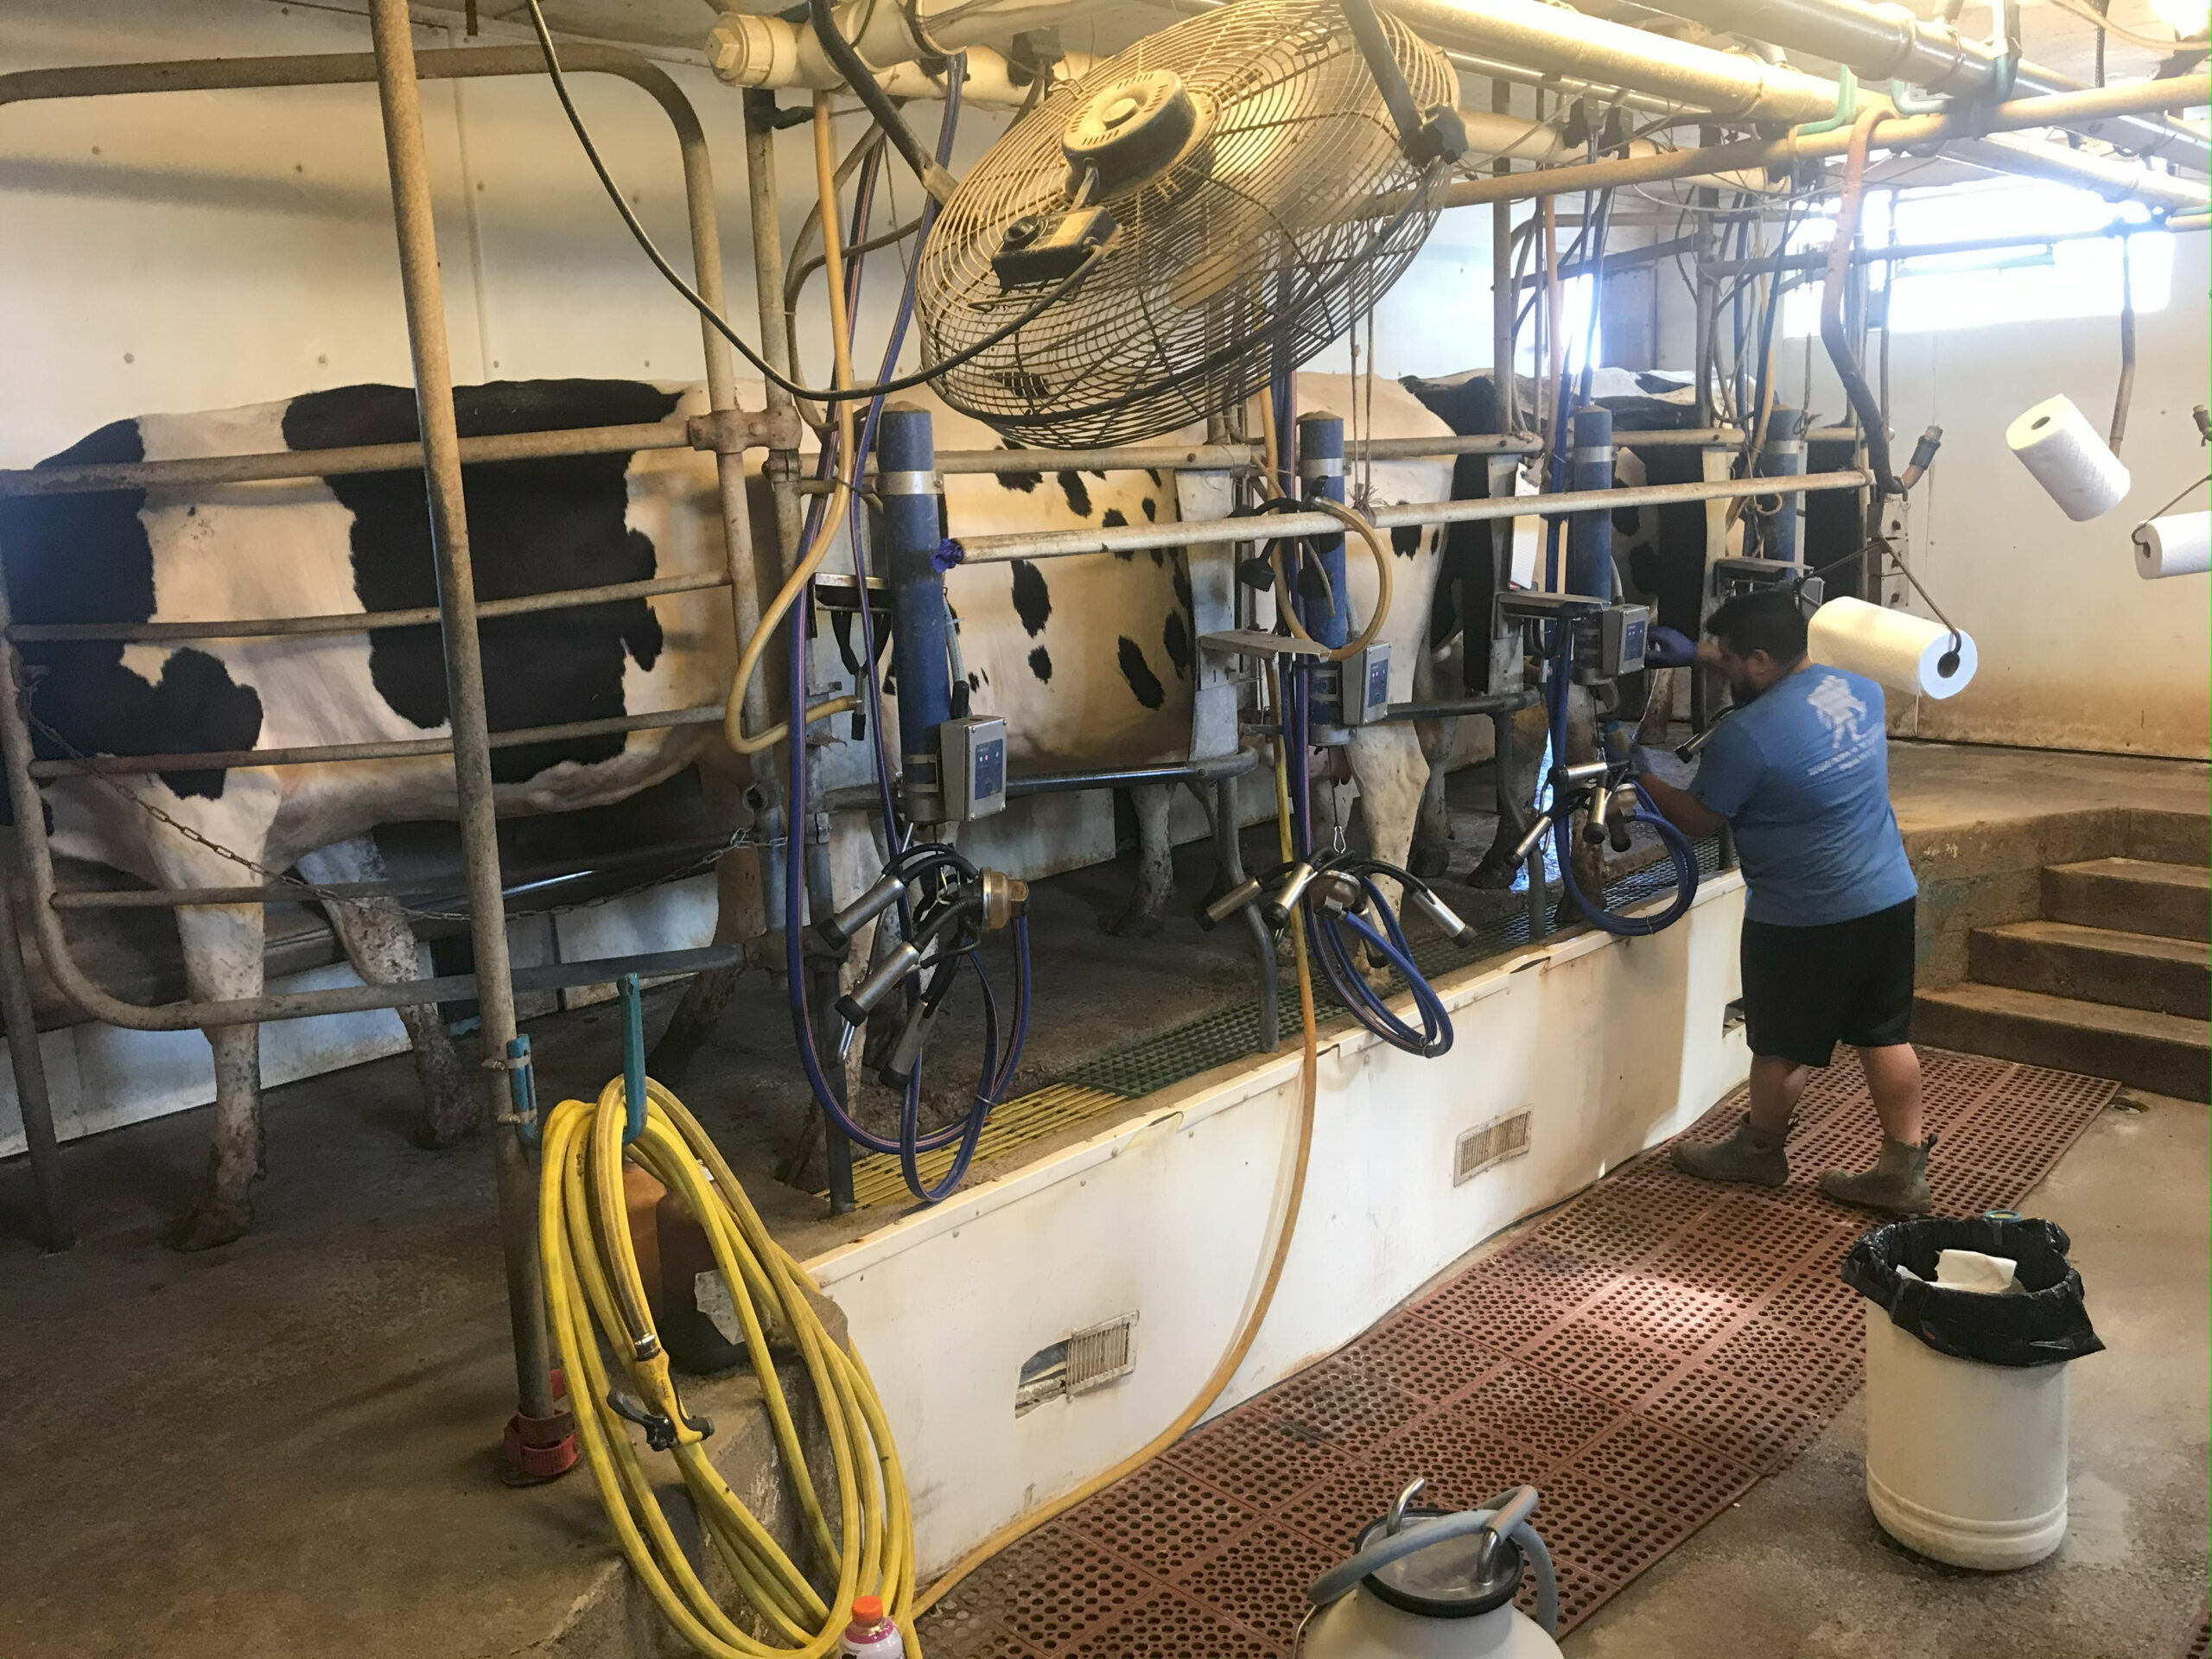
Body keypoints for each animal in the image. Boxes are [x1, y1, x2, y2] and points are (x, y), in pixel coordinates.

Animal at [4, 366, 1468, 1247]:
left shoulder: (188, 803)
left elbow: (224, 1017)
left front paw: (221, 1193)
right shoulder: (313, 812)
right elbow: (386, 952)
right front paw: (446, 1103)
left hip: (1358, 681)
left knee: (1393, 779)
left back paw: (1380, 941)